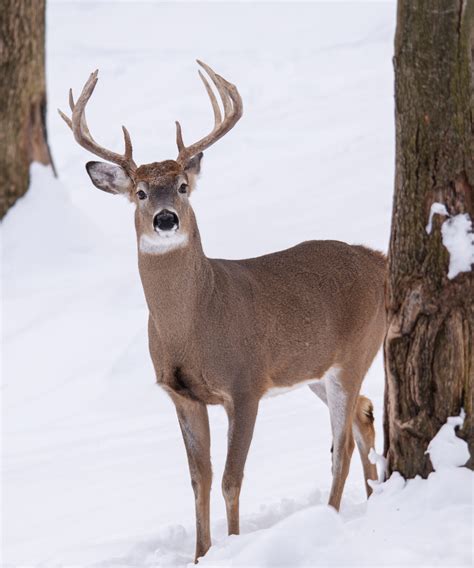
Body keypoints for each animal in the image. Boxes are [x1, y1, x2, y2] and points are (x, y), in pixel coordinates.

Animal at [59, 61, 386, 560]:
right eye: (139, 192)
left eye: (182, 186)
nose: (167, 219)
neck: (193, 325)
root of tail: (381, 260)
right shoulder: (182, 394)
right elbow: (201, 480)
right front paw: (200, 554)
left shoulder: (246, 383)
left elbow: (232, 478)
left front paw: (232, 546)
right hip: (315, 368)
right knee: (365, 415)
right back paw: (371, 499)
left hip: (354, 353)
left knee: (342, 443)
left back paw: (330, 518)